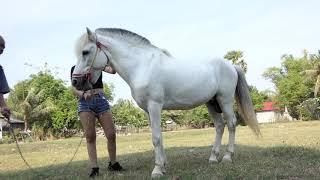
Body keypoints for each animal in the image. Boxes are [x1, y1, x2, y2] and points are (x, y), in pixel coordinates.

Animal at [72, 27, 260, 177]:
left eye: (85, 52)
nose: (75, 82)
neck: (142, 66)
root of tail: (230, 65)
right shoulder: (148, 110)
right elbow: (159, 137)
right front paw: (162, 166)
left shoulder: (154, 106)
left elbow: (156, 138)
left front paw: (156, 170)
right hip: (211, 103)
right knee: (220, 126)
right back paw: (213, 157)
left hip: (224, 100)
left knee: (231, 124)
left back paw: (227, 156)